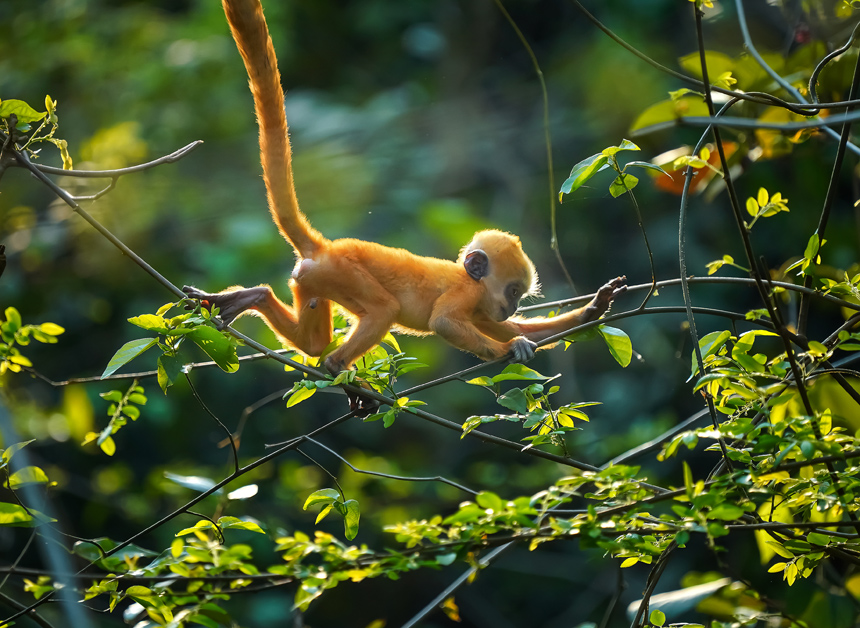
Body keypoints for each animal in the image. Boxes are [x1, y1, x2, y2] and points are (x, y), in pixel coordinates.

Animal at [183, 0, 624, 408]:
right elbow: (445, 322)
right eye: (514, 290)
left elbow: (519, 328)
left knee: (312, 343)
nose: (510, 304)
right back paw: (339, 370)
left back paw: (251, 298)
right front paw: (507, 350)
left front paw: (594, 309)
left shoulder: (484, 308)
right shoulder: (469, 296)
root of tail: (324, 248)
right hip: (342, 273)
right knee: (381, 310)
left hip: (311, 280)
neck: (471, 281)